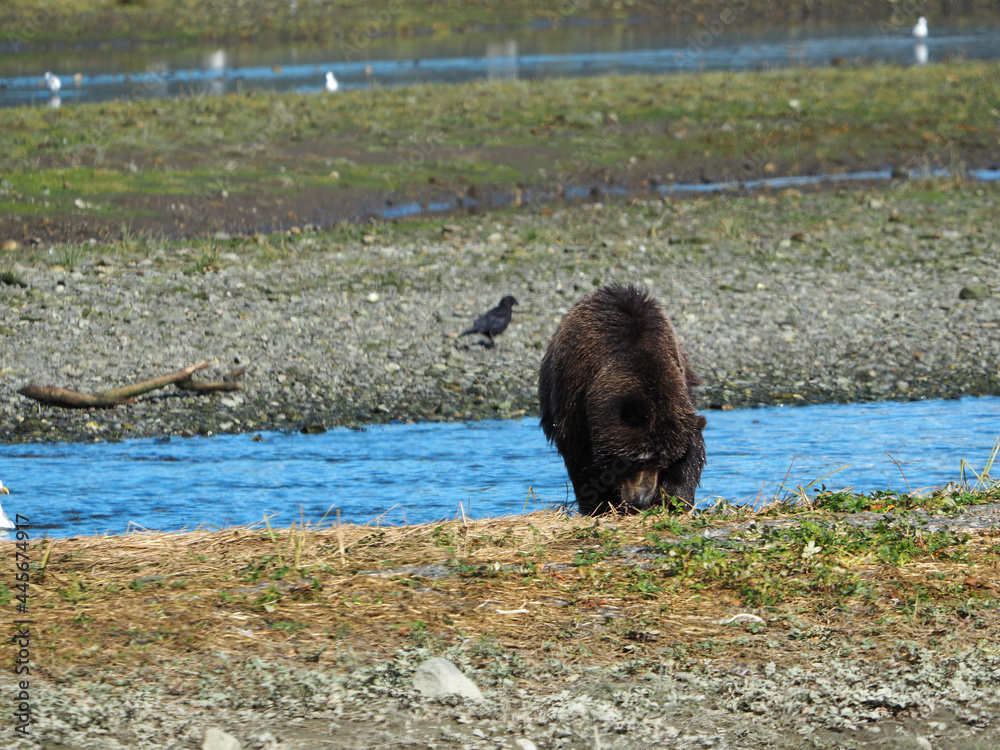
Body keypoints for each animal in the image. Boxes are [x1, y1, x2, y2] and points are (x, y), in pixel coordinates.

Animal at [540, 284, 704, 516]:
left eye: (663, 461)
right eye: (631, 461)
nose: (641, 499)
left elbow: (691, 453)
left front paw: (674, 499)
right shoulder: (575, 398)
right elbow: (581, 460)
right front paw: (598, 505)